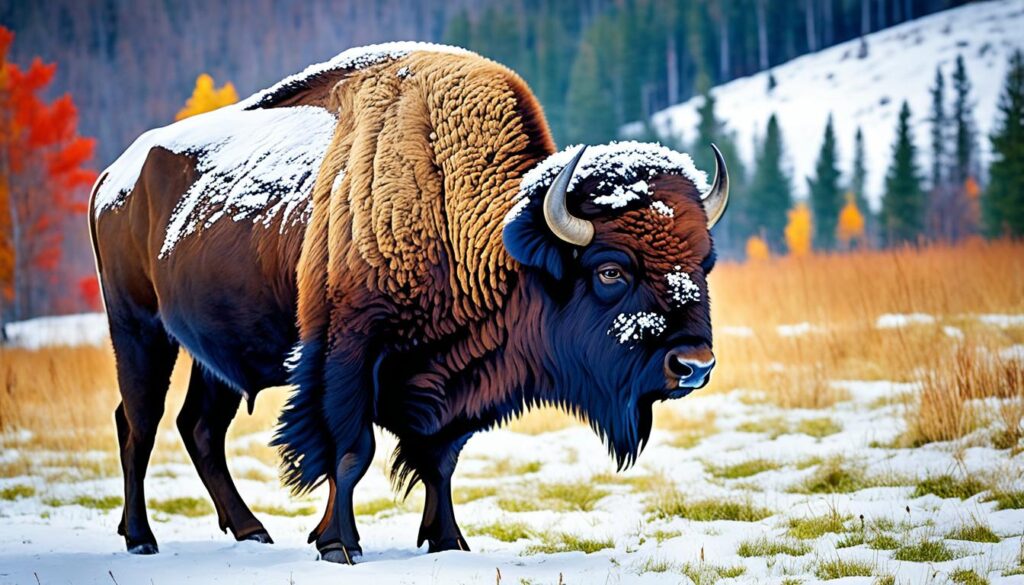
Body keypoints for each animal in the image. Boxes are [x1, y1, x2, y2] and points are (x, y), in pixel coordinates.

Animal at [89, 42, 728, 561]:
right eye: (611, 270)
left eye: (705, 264)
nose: (693, 365)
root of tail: (113, 177)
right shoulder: (346, 353)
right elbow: (351, 451)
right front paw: (338, 545)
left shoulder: (453, 380)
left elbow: (440, 460)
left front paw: (448, 541)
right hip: (138, 328)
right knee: (138, 422)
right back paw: (141, 538)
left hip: (213, 354)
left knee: (199, 426)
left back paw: (251, 531)